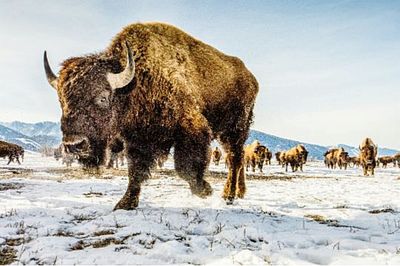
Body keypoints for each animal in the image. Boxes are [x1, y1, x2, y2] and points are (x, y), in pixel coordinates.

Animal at [44, 22, 260, 210]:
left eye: (103, 98)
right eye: (61, 101)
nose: (74, 145)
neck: (137, 82)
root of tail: (251, 78)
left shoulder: (191, 128)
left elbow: (185, 167)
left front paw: (204, 190)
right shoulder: (138, 139)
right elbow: (136, 171)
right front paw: (126, 203)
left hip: (234, 129)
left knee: (235, 159)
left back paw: (229, 195)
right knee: (237, 159)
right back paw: (238, 193)